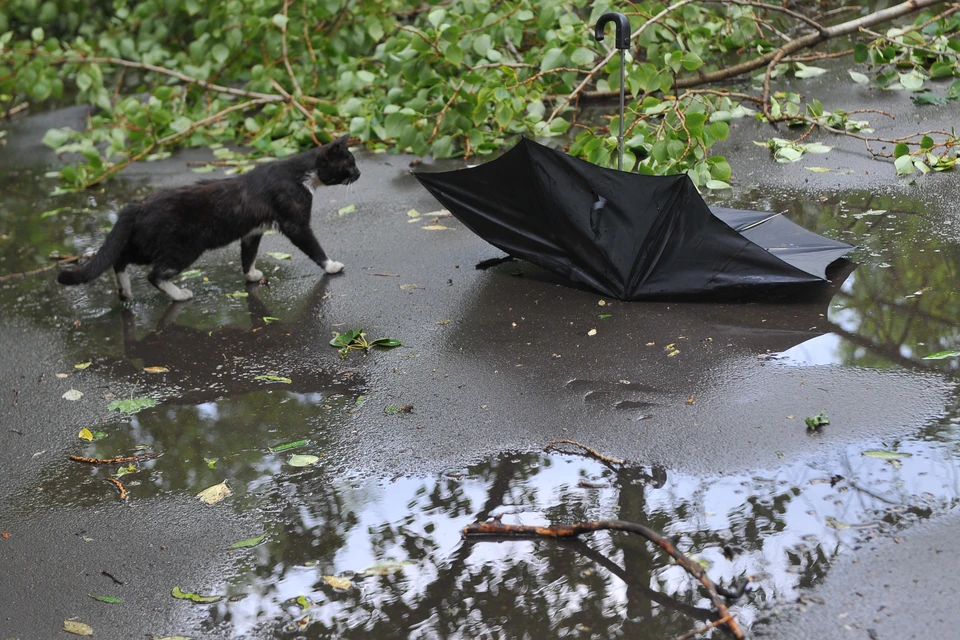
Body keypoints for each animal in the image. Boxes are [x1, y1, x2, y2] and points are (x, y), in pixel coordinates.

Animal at [59, 133, 360, 302]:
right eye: (349, 164)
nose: (359, 174)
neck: (301, 173)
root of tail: (135, 206)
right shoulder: (294, 221)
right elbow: (312, 245)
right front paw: (331, 266)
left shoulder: (252, 231)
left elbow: (248, 254)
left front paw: (251, 275)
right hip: (184, 246)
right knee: (154, 274)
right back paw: (179, 295)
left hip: (147, 243)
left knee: (120, 258)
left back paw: (125, 292)